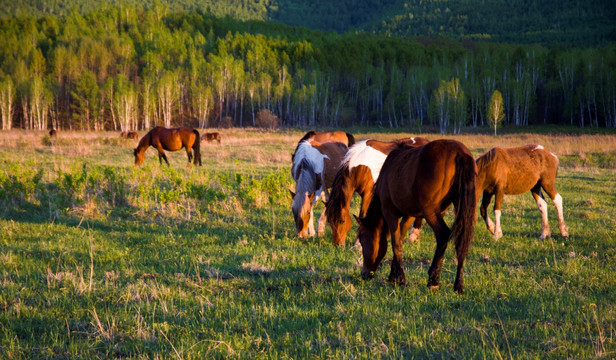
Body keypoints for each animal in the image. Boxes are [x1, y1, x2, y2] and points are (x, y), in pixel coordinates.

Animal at [356, 139, 476, 294]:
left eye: (362, 239)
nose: (364, 274)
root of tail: (459, 152)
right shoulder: (409, 215)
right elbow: (400, 239)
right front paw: (393, 276)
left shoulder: (389, 211)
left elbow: (395, 242)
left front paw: (400, 279)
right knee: (461, 240)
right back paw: (458, 284)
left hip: (430, 211)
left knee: (443, 234)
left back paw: (433, 280)